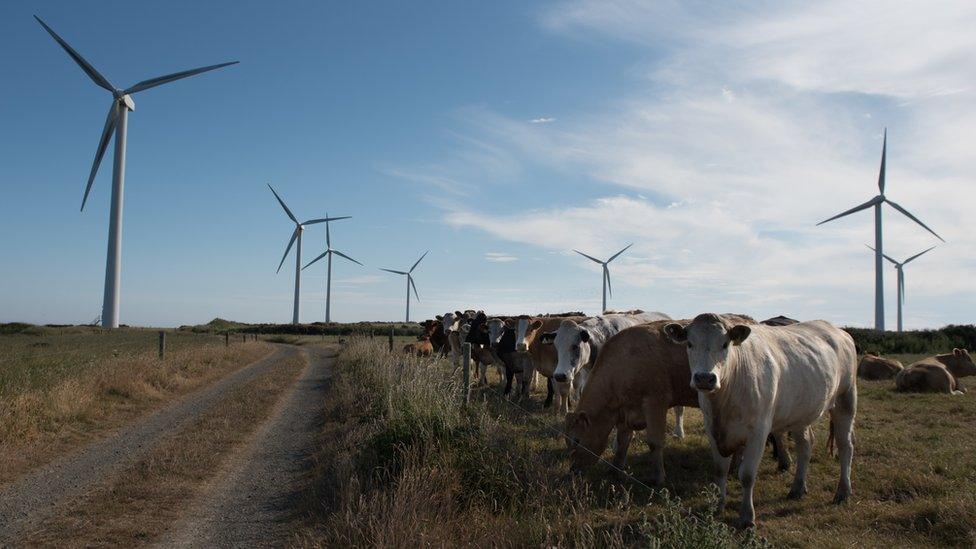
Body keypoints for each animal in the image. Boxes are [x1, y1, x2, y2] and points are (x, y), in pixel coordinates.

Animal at [660, 314, 856, 528]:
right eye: (689, 343)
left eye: (725, 344)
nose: (705, 378)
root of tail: (839, 331)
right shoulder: (712, 429)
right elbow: (720, 470)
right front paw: (717, 506)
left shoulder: (758, 433)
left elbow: (746, 475)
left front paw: (747, 518)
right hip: (800, 412)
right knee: (805, 445)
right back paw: (797, 488)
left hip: (846, 399)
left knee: (845, 446)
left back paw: (843, 492)